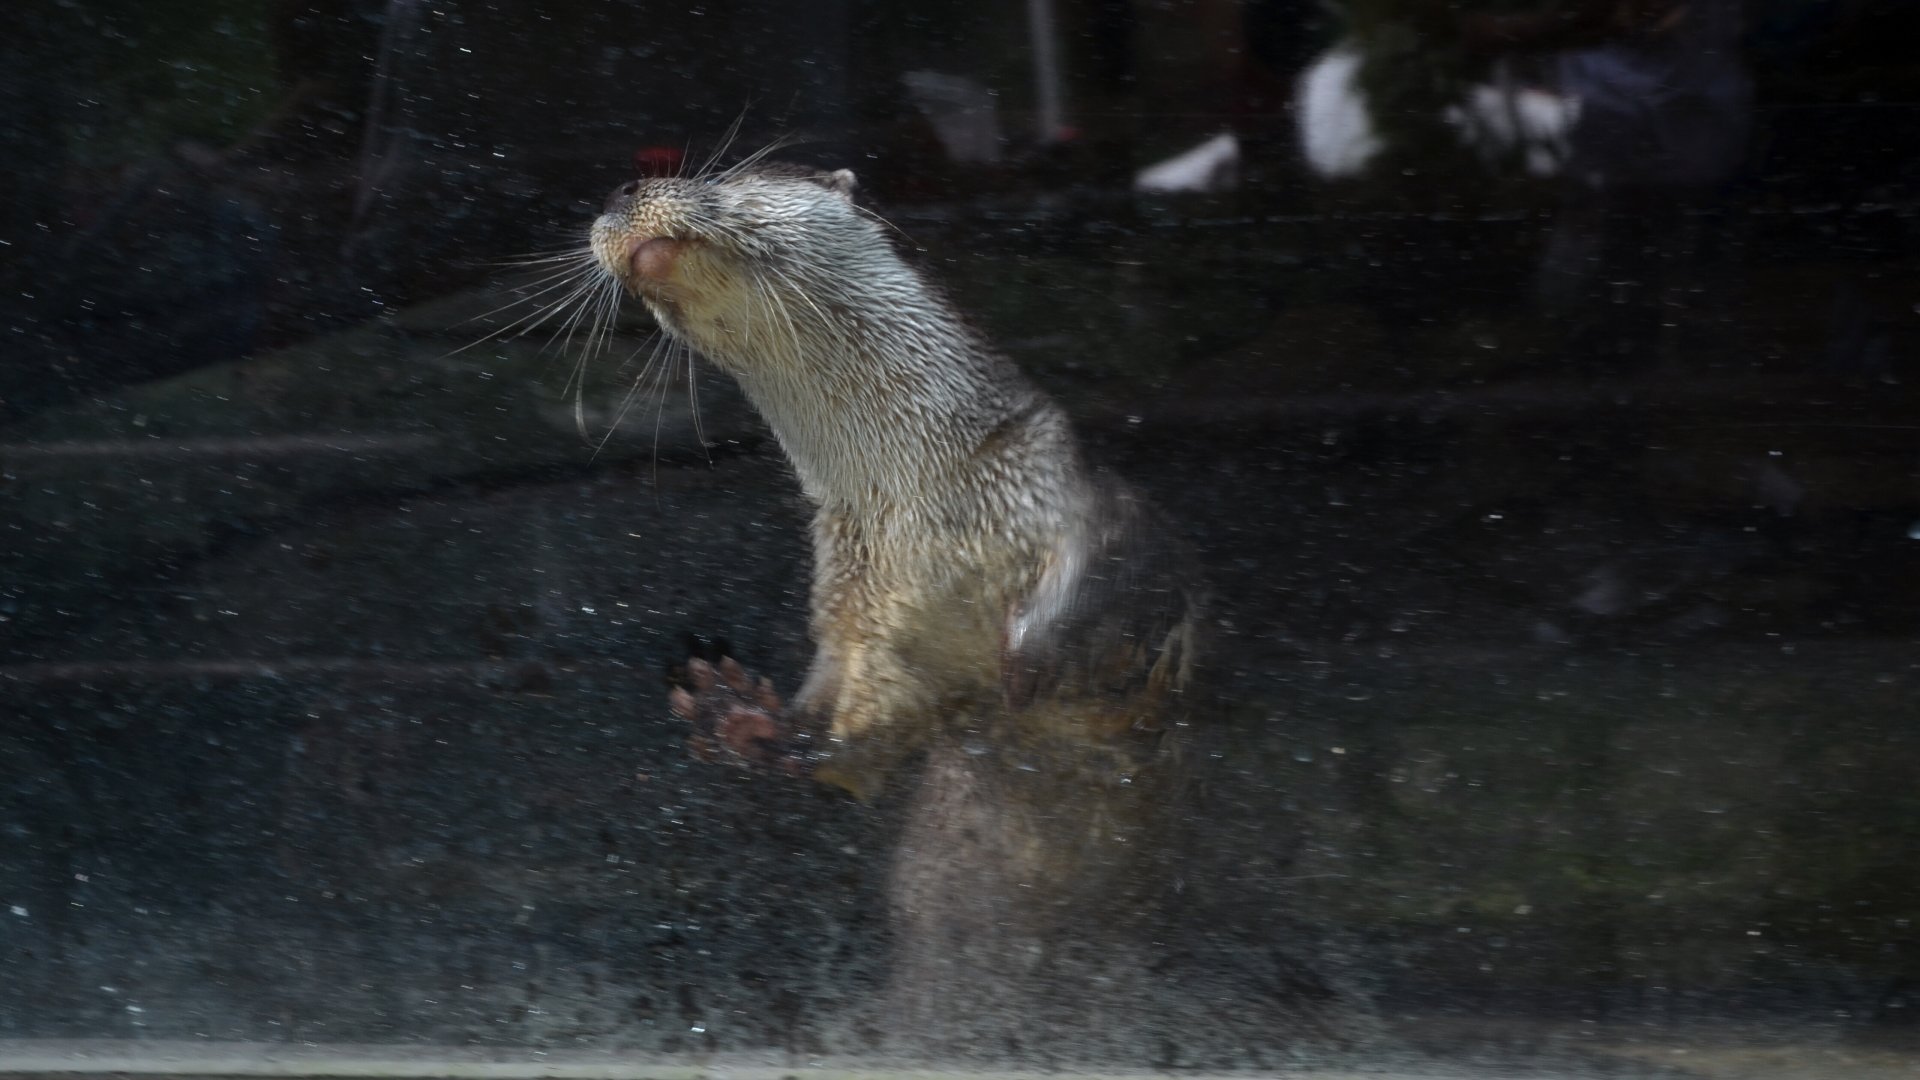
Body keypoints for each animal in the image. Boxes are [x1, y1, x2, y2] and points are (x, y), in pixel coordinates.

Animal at [586, 161, 1343, 1062]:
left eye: (726, 175)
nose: (619, 191)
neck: (914, 496)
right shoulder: (859, 604)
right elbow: (850, 742)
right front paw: (743, 720)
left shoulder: (1074, 501)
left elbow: (1110, 589)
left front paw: (1031, 664)